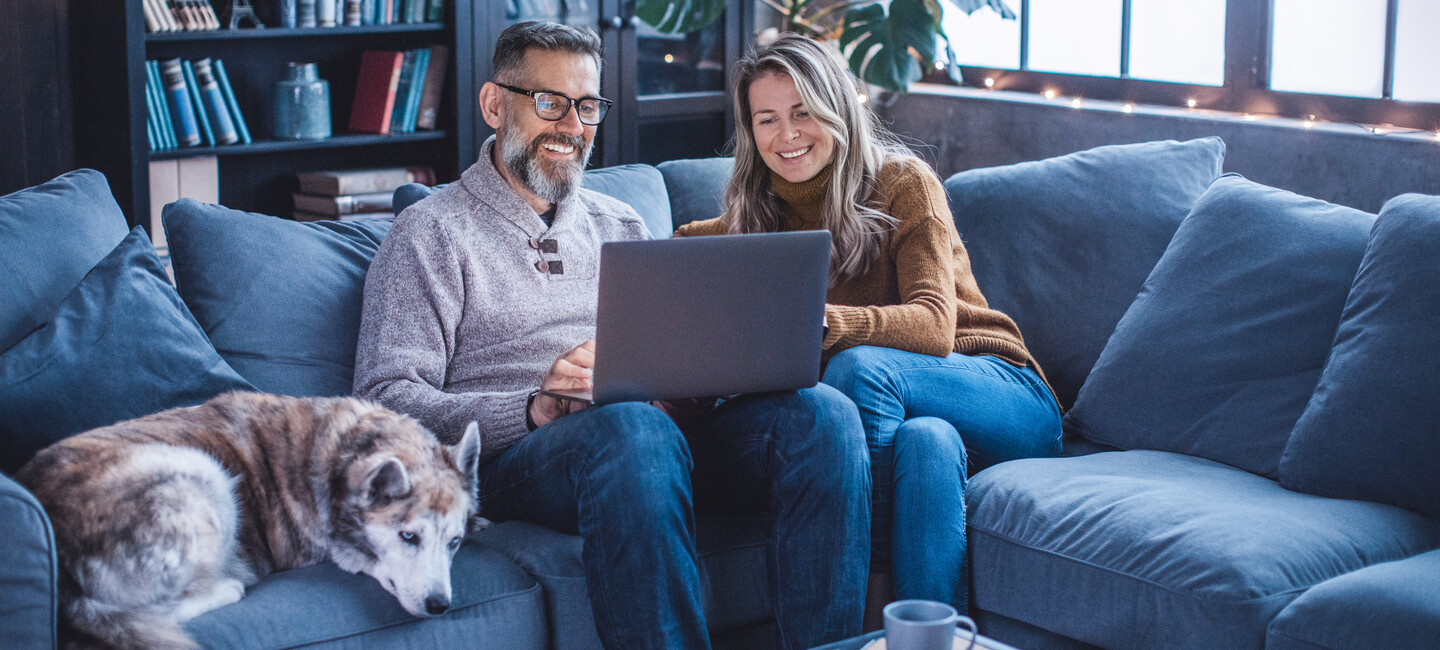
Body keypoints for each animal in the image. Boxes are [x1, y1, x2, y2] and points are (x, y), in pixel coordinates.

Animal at [15, 392, 483, 650]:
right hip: (203, 475)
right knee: (155, 610)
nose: (440, 606)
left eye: (454, 542)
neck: (341, 455)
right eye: (408, 536)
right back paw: (230, 584)